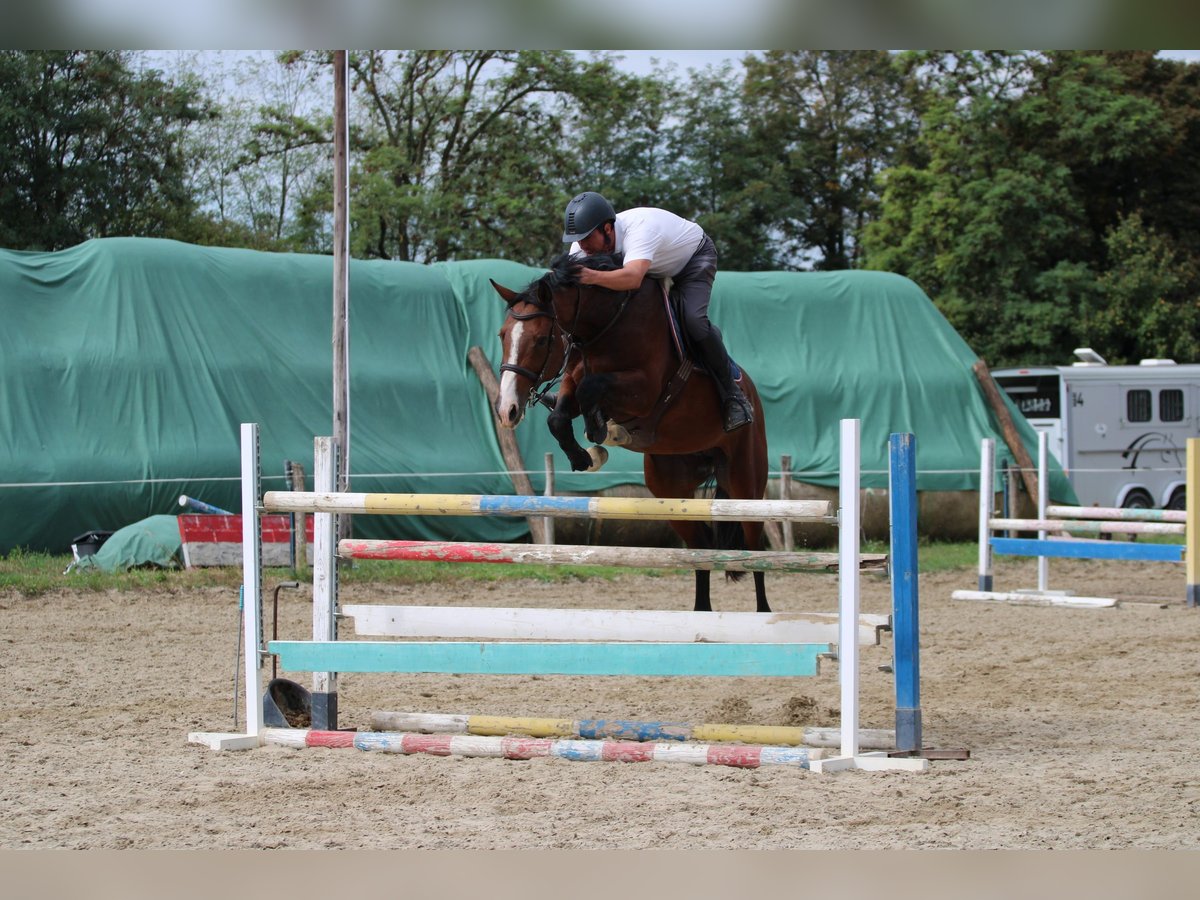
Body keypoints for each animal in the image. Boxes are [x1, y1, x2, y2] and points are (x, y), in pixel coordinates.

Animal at [492, 252, 772, 614]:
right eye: (502, 335)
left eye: (541, 339)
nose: (506, 410)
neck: (604, 325)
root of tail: (750, 390)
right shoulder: (573, 376)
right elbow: (560, 414)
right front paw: (586, 456)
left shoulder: (644, 389)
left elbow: (590, 389)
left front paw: (601, 431)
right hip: (671, 491)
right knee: (701, 547)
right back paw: (701, 614)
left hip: (745, 483)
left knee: (756, 550)